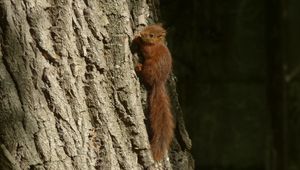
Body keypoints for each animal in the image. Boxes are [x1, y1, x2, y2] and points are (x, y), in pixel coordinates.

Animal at [133, 23, 173, 161]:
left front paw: (137, 39)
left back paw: (138, 68)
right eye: (148, 27)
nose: (142, 33)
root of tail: (158, 82)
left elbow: (145, 50)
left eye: (151, 35)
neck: (156, 44)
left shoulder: (150, 50)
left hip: (149, 68)